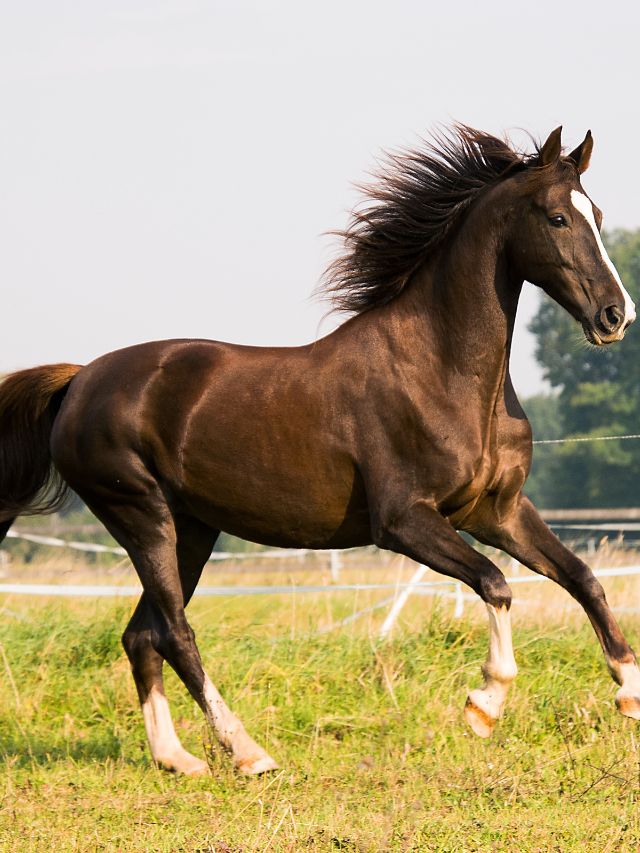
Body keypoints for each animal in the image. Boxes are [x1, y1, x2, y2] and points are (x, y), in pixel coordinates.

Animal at [1, 123, 640, 776]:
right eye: (558, 217)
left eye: (597, 214)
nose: (616, 316)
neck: (442, 372)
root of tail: (79, 381)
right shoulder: (404, 522)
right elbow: (496, 583)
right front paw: (484, 704)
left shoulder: (499, 511)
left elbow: (583, 577)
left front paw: (629, 694)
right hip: (141, 515)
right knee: (175, 632)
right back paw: (247, 751)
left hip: (192, 530)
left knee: (142, 635)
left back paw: (177, 758)